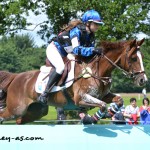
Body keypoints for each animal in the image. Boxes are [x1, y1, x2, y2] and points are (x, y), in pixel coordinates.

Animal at [0, 38, 148, 124]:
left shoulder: (103, 95)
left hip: (36, 111)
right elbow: (102, 105)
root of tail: (15, 77)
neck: (96, 70)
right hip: (16, 109)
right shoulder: (81, 98)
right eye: (134, 58)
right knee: (4, 116)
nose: (143, 80)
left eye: (142, 56)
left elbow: (118, 100)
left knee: (19, 121)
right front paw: (90, 118)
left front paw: (110, 113)